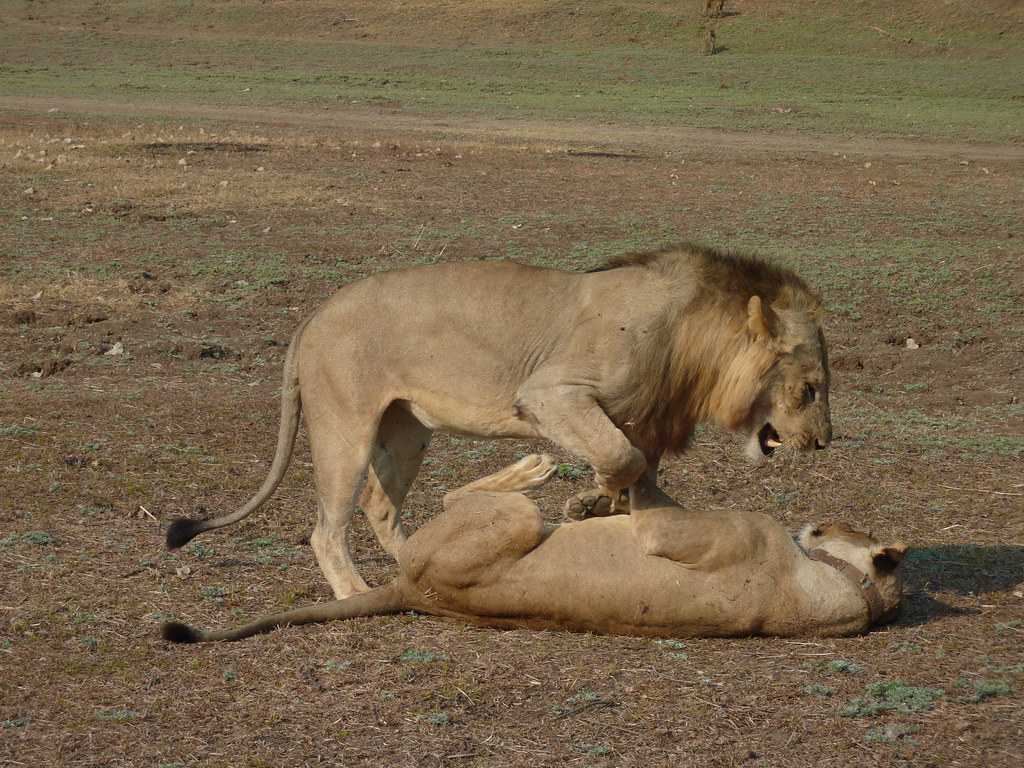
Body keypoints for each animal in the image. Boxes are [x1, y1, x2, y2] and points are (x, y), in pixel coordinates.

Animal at [161, 456, 905, 643]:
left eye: (837, 527)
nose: (815, 520)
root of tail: (415, 593)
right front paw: (591, 505)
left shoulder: (684, 532)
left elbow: (647, 487)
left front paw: (596, 495)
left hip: (511, 522)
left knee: (455, 496)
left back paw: (537, 467)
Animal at [165, 241, 831, 602]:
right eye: (810, 388)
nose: (825, 442)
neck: (696, 346)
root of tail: (314, 312)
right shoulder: (551, 392)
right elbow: (622, 458)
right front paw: (589, 500)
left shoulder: (638, 421)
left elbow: (639, 476)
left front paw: (596, 504)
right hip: (344, 427)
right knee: (327, 528)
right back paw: (357, 591)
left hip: (407, 430)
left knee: (382, 506)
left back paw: (425, 560)